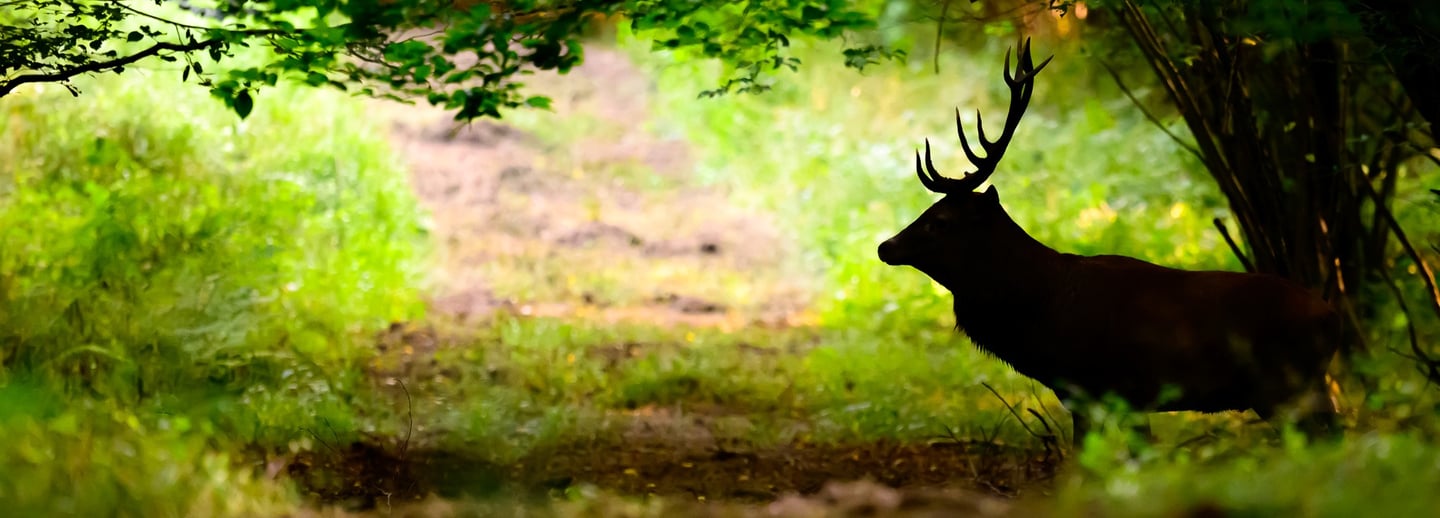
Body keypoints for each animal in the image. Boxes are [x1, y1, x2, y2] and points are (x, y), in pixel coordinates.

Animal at [877, 40, 1340, 447]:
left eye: (940, 221)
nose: (885, 246)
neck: (1042, 310)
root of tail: (1331, 317)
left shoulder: (1118, 389)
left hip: (1286, 388)